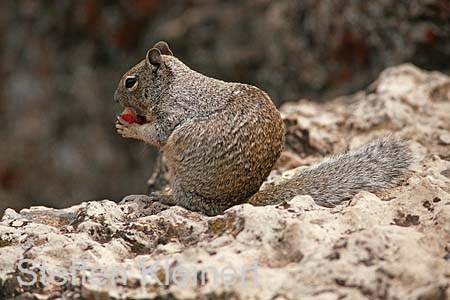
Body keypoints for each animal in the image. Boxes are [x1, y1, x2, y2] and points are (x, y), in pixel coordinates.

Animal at [114, 41, 414, 216]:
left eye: (130, 82)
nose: (116, 99)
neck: (172, 86)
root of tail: (235, 204)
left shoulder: (174, 114)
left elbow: (158, 134)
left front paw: (129, 128)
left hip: (182, 178)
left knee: (187, 203)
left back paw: (163, 198)